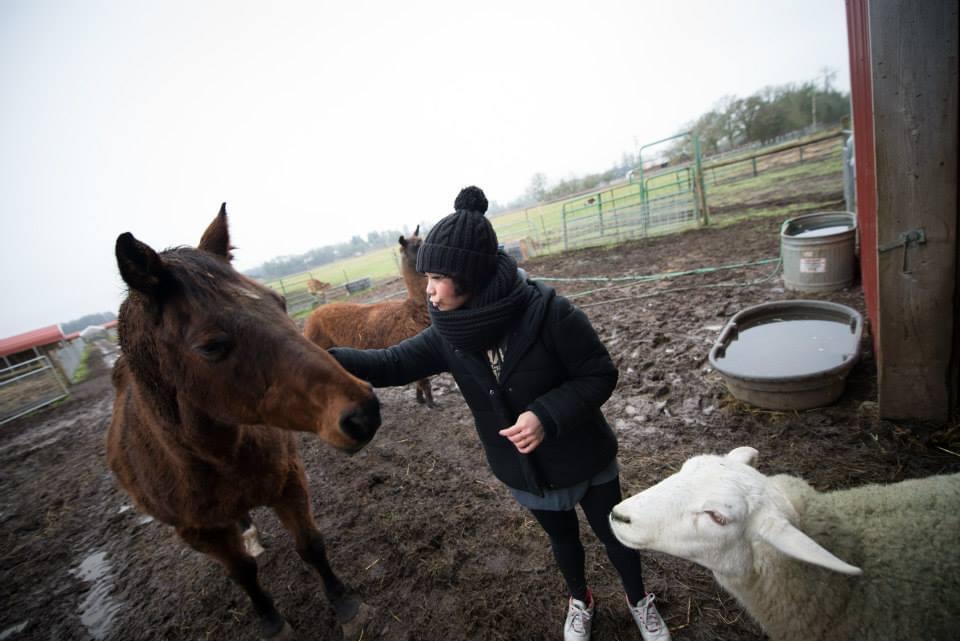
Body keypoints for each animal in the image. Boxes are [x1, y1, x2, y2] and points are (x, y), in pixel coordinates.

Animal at [108, 208, 382, 636]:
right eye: (211, 346)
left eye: (280, 303)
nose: (362, 414)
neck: (217, 455)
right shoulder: (198, 532)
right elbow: (243, 573)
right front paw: (272, 623)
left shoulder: (289, 483)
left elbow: (311, 545)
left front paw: (347, 606)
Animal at [304, 225, 436, 404]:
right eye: (415, 246)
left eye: (423, 240)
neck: (413, 310)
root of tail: (311, 316)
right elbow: (424, 381)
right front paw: (430, 403)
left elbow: (419, 380)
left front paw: (420, 399)